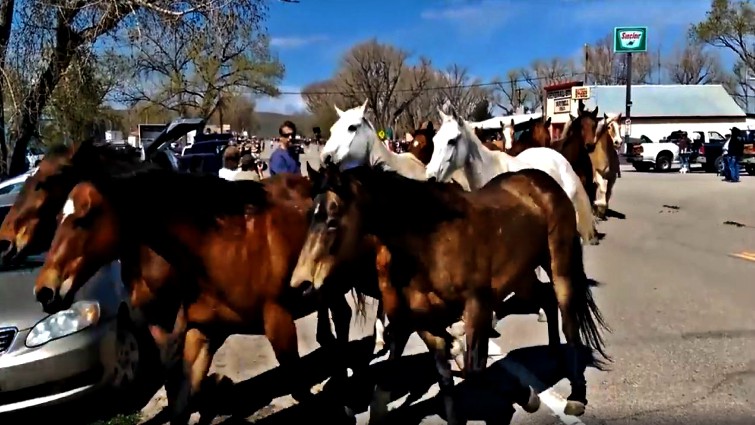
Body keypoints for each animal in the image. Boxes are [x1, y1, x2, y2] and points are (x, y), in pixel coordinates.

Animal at [29, 165, 371, 424]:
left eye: (83, 219)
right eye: (55, 221)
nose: (45, 290)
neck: (221, 247)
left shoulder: (278, 321)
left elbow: (299, 388)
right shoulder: (202, 331)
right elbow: (181, 404)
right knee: (336, 320)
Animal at [291, 164, 610, 424]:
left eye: (332, 220)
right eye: (308, 216)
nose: (300, 284)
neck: (431, 241)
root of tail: (542, 180)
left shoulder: (478, 306)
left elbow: (474, 371)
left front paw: (527, 397)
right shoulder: (422, 320)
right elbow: (443, 377)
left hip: (559, 263)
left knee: (569, 317)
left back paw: (576, 394)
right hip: (522, 277)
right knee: (545, 298)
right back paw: (554, 355)